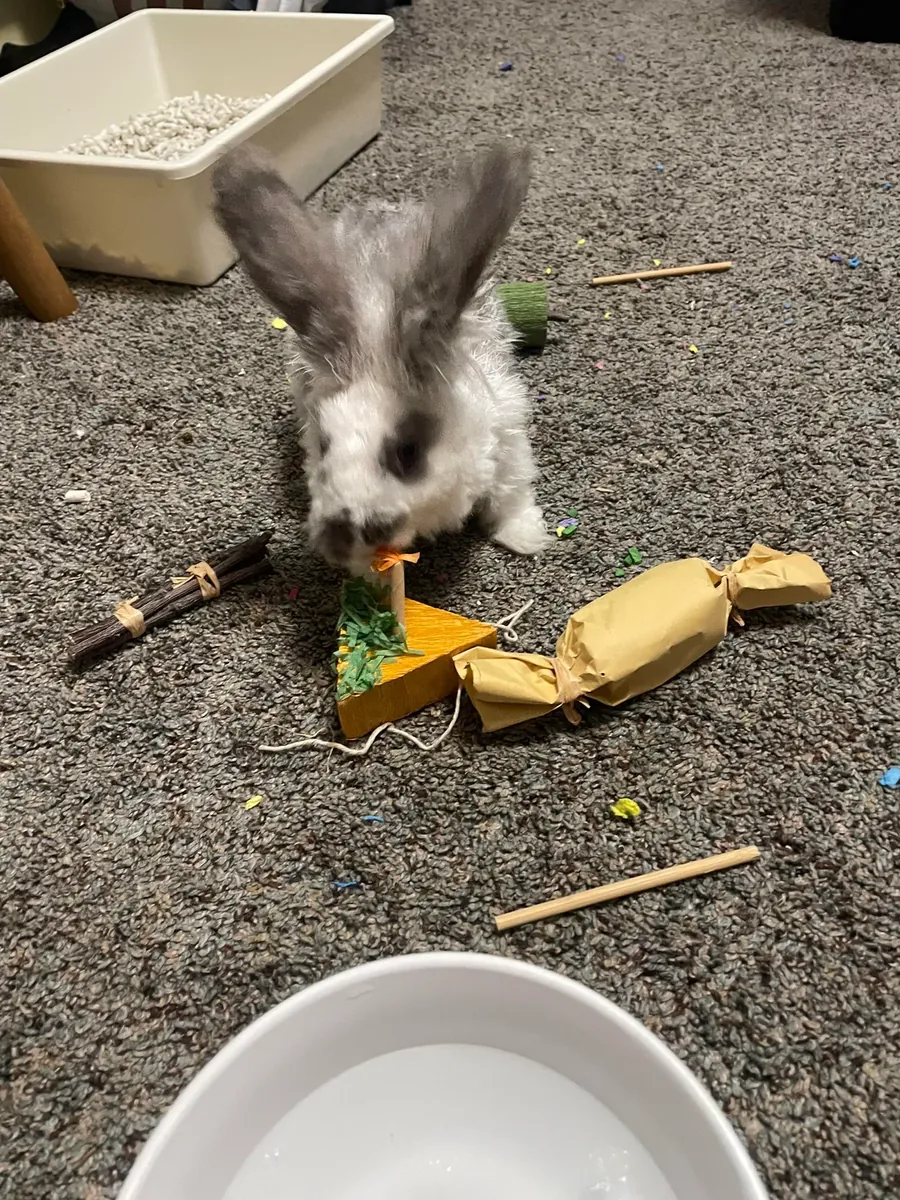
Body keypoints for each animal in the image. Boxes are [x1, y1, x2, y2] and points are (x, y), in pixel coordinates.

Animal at [212, 144, 549, 577]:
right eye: (323, 446)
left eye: (408, 453)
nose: (339, 543)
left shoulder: (507, 430)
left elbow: (511, 492)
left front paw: (526, 538)